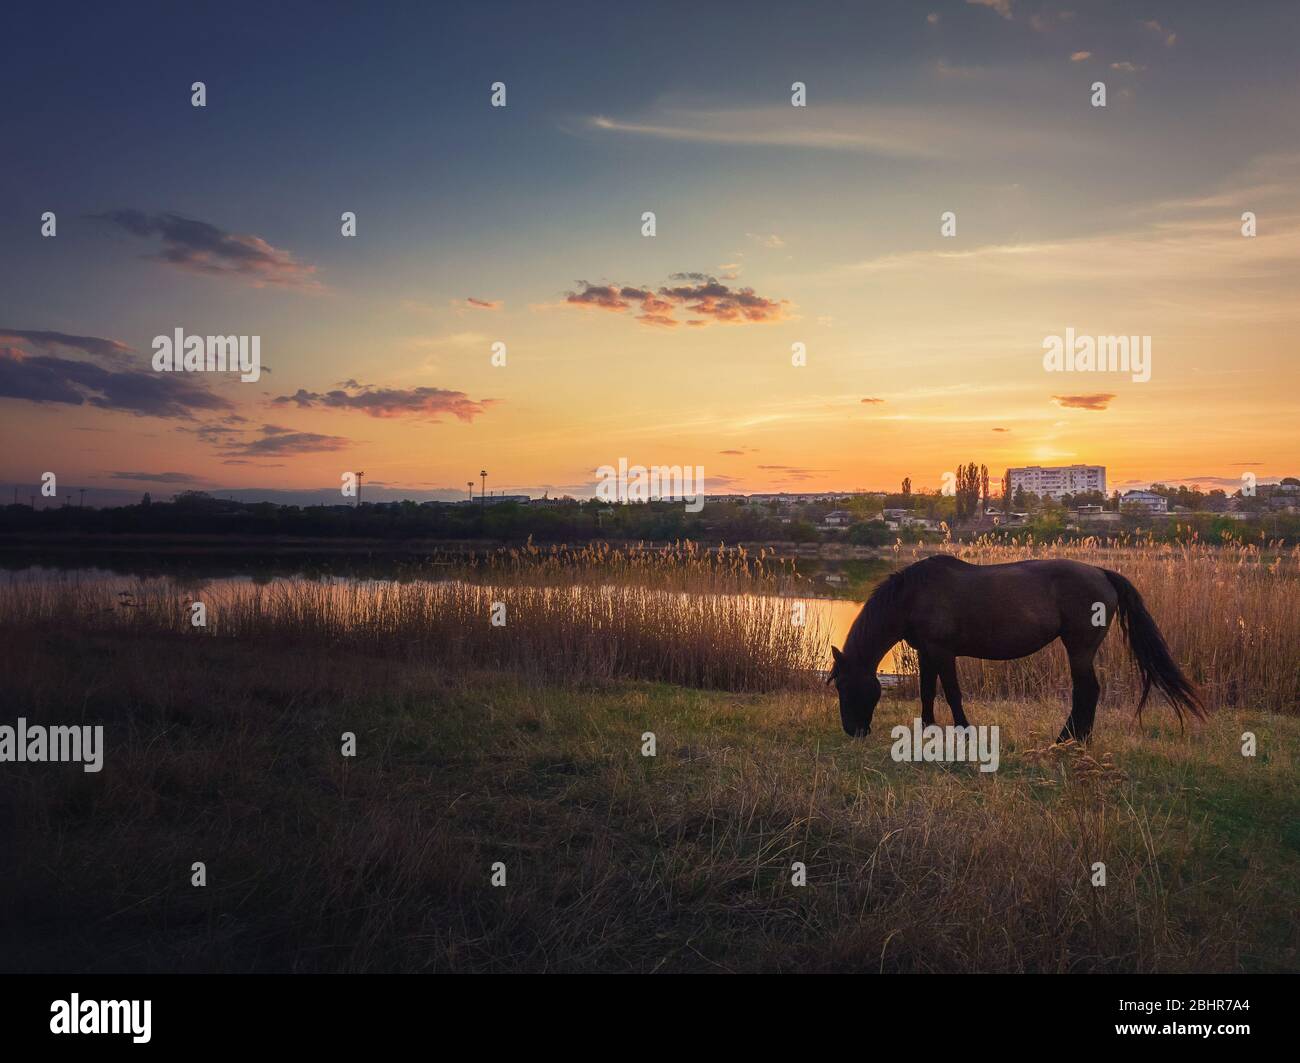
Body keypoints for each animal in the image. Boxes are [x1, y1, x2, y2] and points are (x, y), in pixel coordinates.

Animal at [826, 556, 1201, 738]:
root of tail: (1101, 571)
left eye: (844, 686)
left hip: (1079, 648)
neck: (913, 594)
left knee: (1087, 691)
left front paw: (965, 732)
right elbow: (927, 692)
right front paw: (928, 730)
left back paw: (1070, 739)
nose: (853, 731)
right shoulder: (926, 653)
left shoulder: (943, 653)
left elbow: (952, 693)